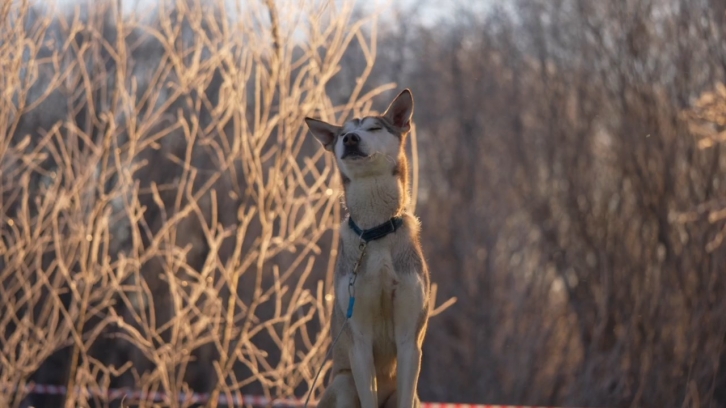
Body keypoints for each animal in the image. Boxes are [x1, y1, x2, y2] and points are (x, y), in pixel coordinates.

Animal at [304, 89, 430, 408]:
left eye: (374, 128)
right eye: (343, 134)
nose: (350, 139)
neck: (376, 232)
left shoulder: (410, 340)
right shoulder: (358, 339)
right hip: (343, 383)